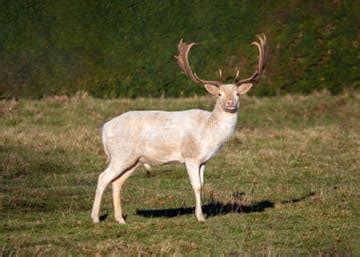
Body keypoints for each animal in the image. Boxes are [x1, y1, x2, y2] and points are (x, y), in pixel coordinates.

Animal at [91, 33, 268, 222]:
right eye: (219, 94)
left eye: (237, 94)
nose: (230, 103)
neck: (210, 132)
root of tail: (104, 128)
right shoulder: (190, 156)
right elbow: (196, 186)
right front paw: (200, 217)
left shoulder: (203, 160)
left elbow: (202, 185)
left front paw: (201, 213)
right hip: (120, 155)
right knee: (102, 178)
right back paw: (95, 218)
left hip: (133, 159)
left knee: (116, 182)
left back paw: (121, 220)